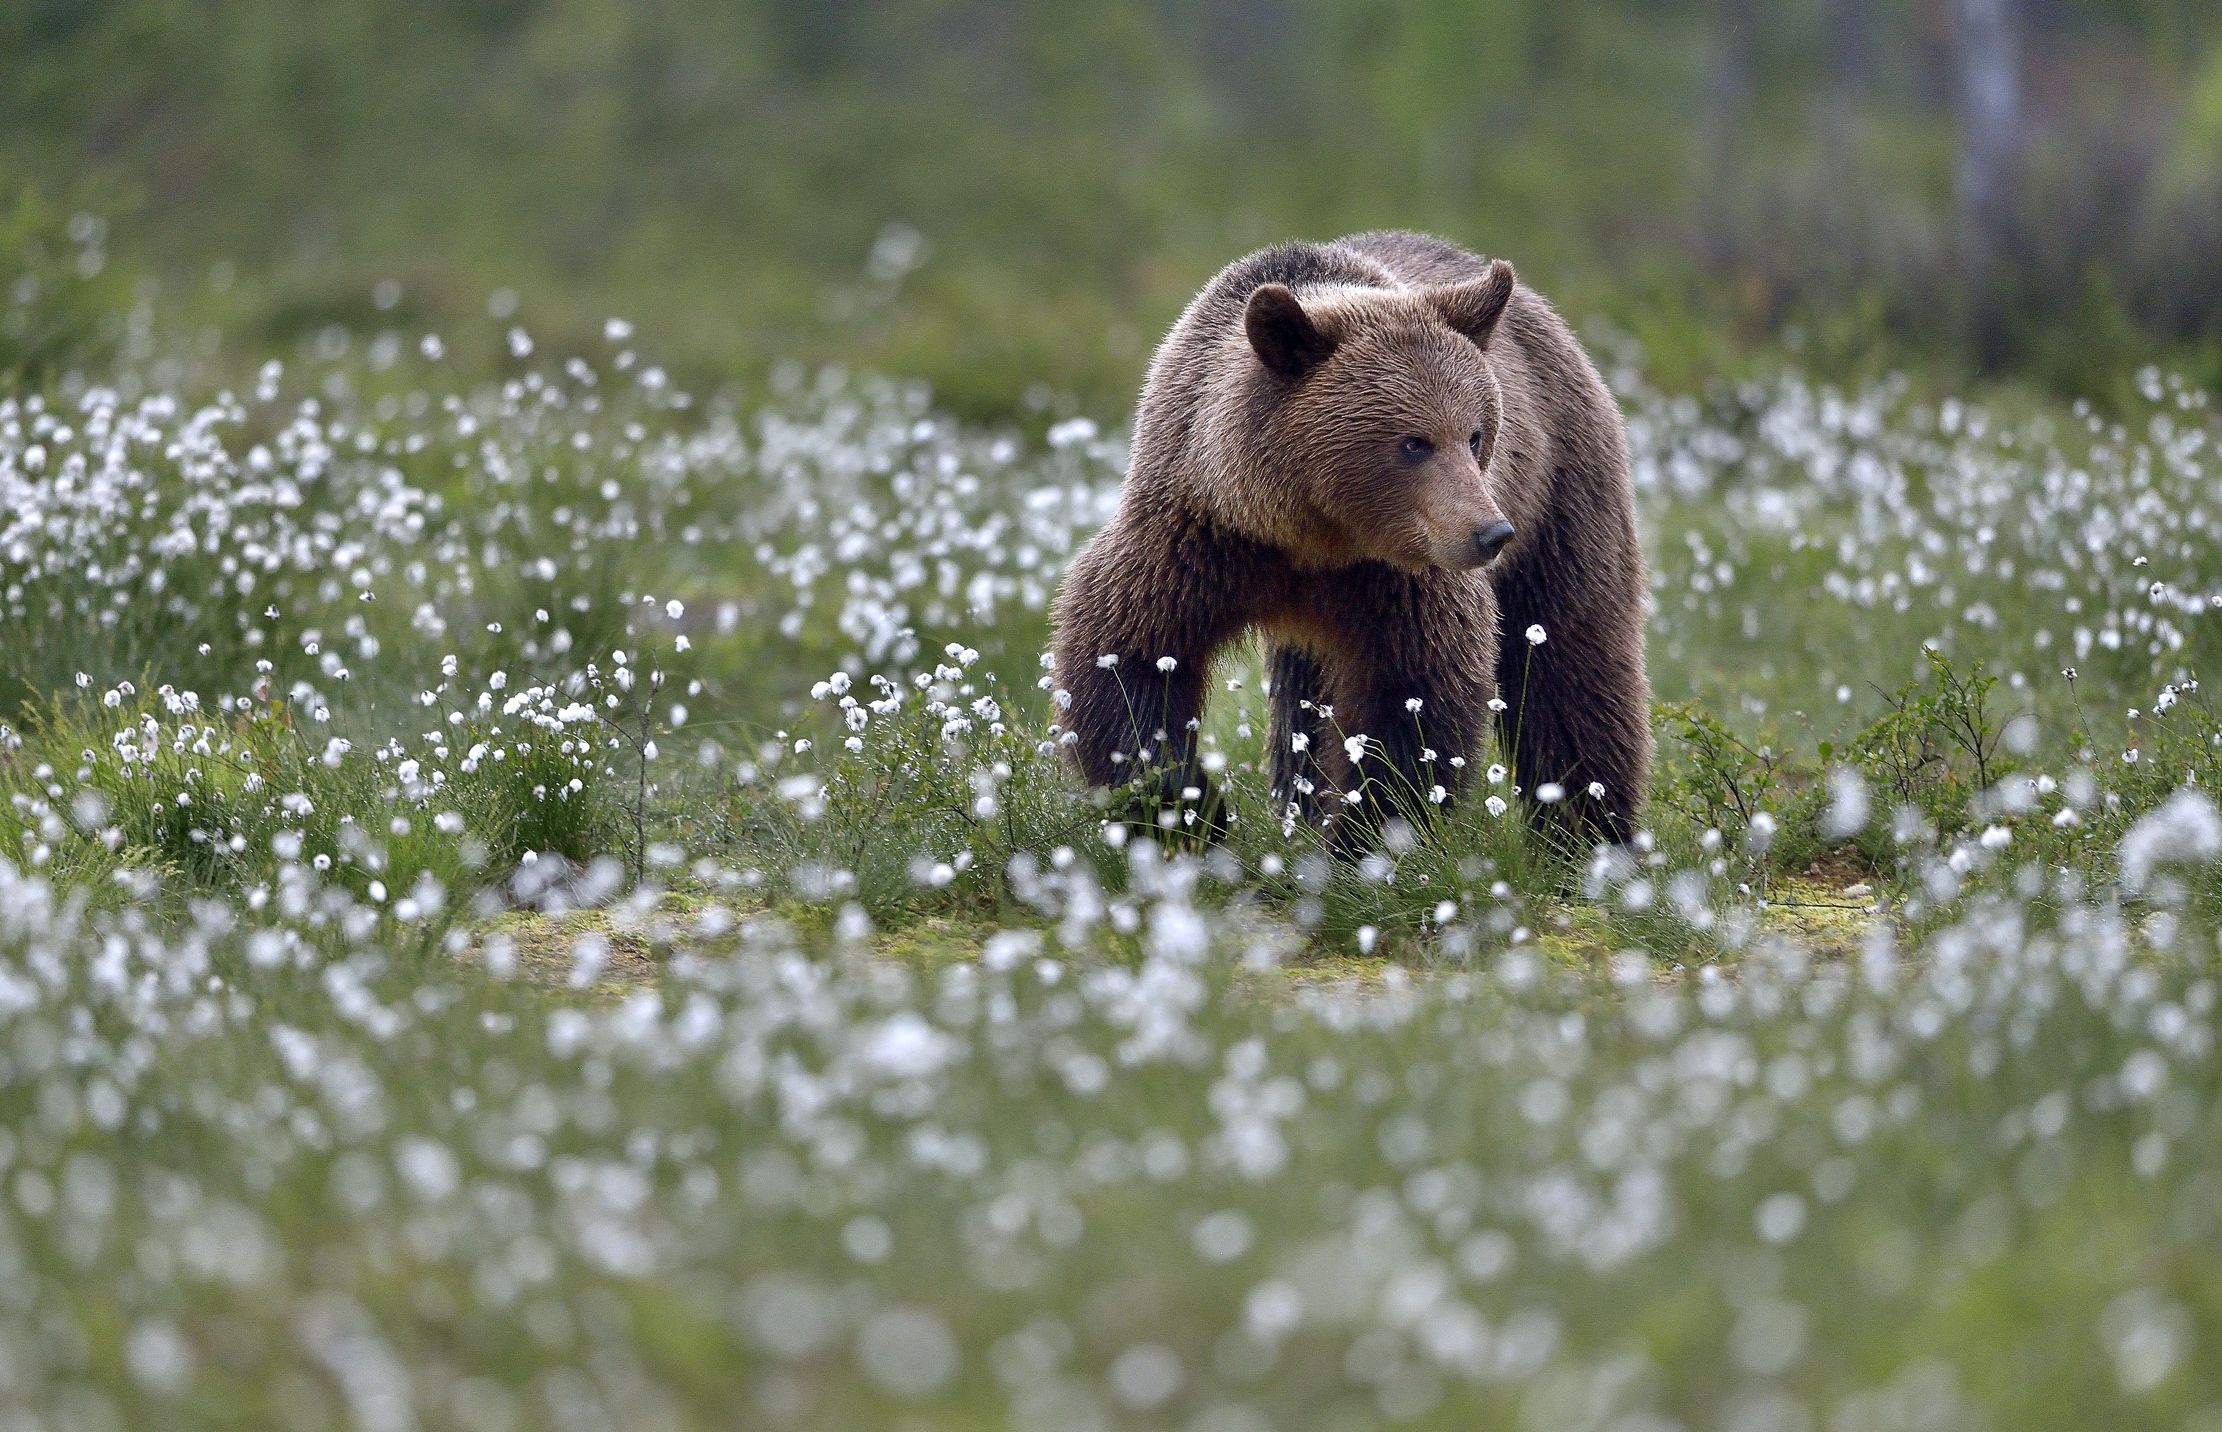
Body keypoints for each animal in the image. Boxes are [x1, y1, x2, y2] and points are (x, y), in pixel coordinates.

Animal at [1049, 230, 1650, 848]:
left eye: (1476, 433)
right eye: (1414, 442)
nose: (1490, 532)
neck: (1312, 533)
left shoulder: (1397, 575)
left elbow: (1415, 690)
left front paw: (1366, 830)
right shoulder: (1199, 535)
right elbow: (1128, 650)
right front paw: (1183, 805)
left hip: (1561, 491)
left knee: (1571, 664)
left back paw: (1586, 833)